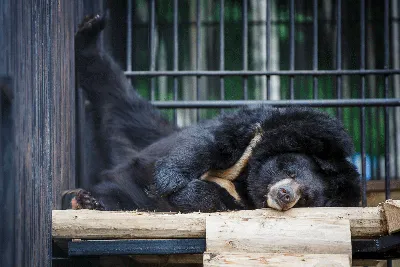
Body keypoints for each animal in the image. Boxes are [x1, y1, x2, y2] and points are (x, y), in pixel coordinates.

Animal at [69, 14, 362, 214]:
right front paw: (168, 181)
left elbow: (213, 199)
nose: (285, 193)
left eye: (306, 198)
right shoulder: (262, 126)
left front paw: (189, 193)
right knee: (113, 90)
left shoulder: (241, 202)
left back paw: (89, 201)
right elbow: (209, 143)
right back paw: (89, 31)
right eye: (289, 170)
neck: (248, 178)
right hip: (139, 133)